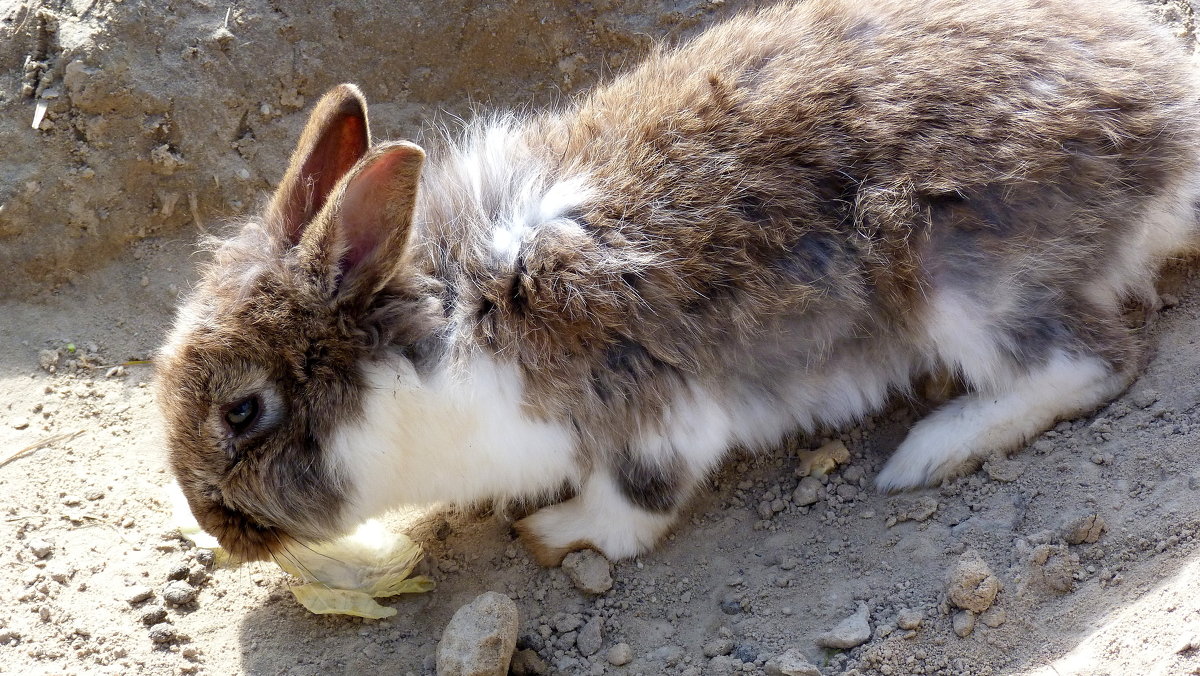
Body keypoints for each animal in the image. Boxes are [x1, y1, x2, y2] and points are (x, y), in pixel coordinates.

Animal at [159, 0, 1200, 566]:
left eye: (244, 412)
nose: (216, 529)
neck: (443, 321)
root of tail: (1174, 127)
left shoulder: (641, 414)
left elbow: (634, 505)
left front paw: (554, 533)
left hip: (963, 276)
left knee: (1090, 361)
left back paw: (929, 450)